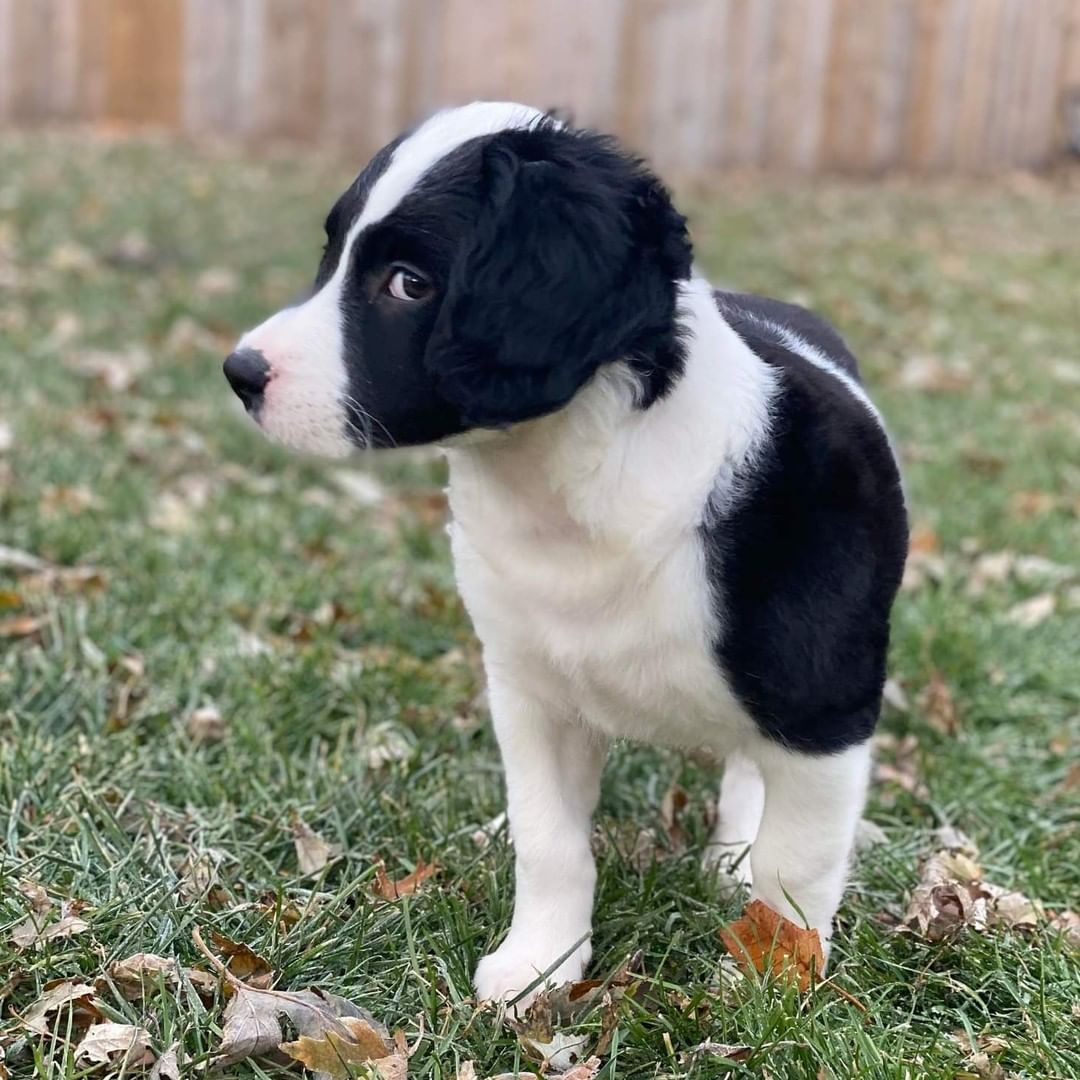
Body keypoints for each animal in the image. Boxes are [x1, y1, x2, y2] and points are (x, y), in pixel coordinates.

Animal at [223, 101, 907, 1002]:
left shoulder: (827, 712)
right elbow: (549, 841)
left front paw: (770, 986)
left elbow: (795, 869)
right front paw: (538, 965)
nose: (240, 373)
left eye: (409, 283)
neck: (571, 484)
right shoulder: (531, 691)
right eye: (332, 254)